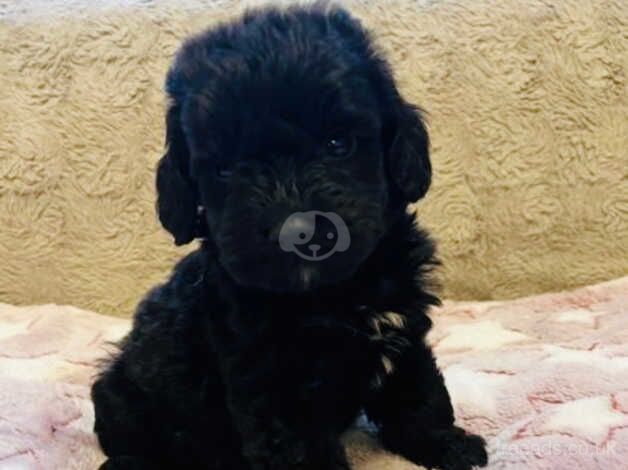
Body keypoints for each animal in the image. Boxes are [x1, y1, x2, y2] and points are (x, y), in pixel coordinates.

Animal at [91, 4, 488, 470]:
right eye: (225, 169)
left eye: (337, 142)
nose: (297, 231)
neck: (334, 294)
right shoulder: (272, 378)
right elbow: (299, 446)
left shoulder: (403, 330)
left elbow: (419, 392)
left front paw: (448, 444)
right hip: (123, 393)